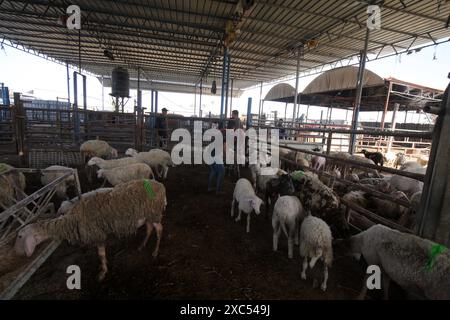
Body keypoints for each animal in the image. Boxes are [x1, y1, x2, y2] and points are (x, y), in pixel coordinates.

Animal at [15, 179, 168, 282]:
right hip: (148, 214)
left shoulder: (97, 234)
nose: (20, 253)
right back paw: (142, 245)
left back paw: (155, 251)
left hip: (154, 212)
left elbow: (101, 254)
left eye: (20, 236)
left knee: (159, 229)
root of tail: (160, 185)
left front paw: (102, 272)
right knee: (149, 227)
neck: (72, 219)